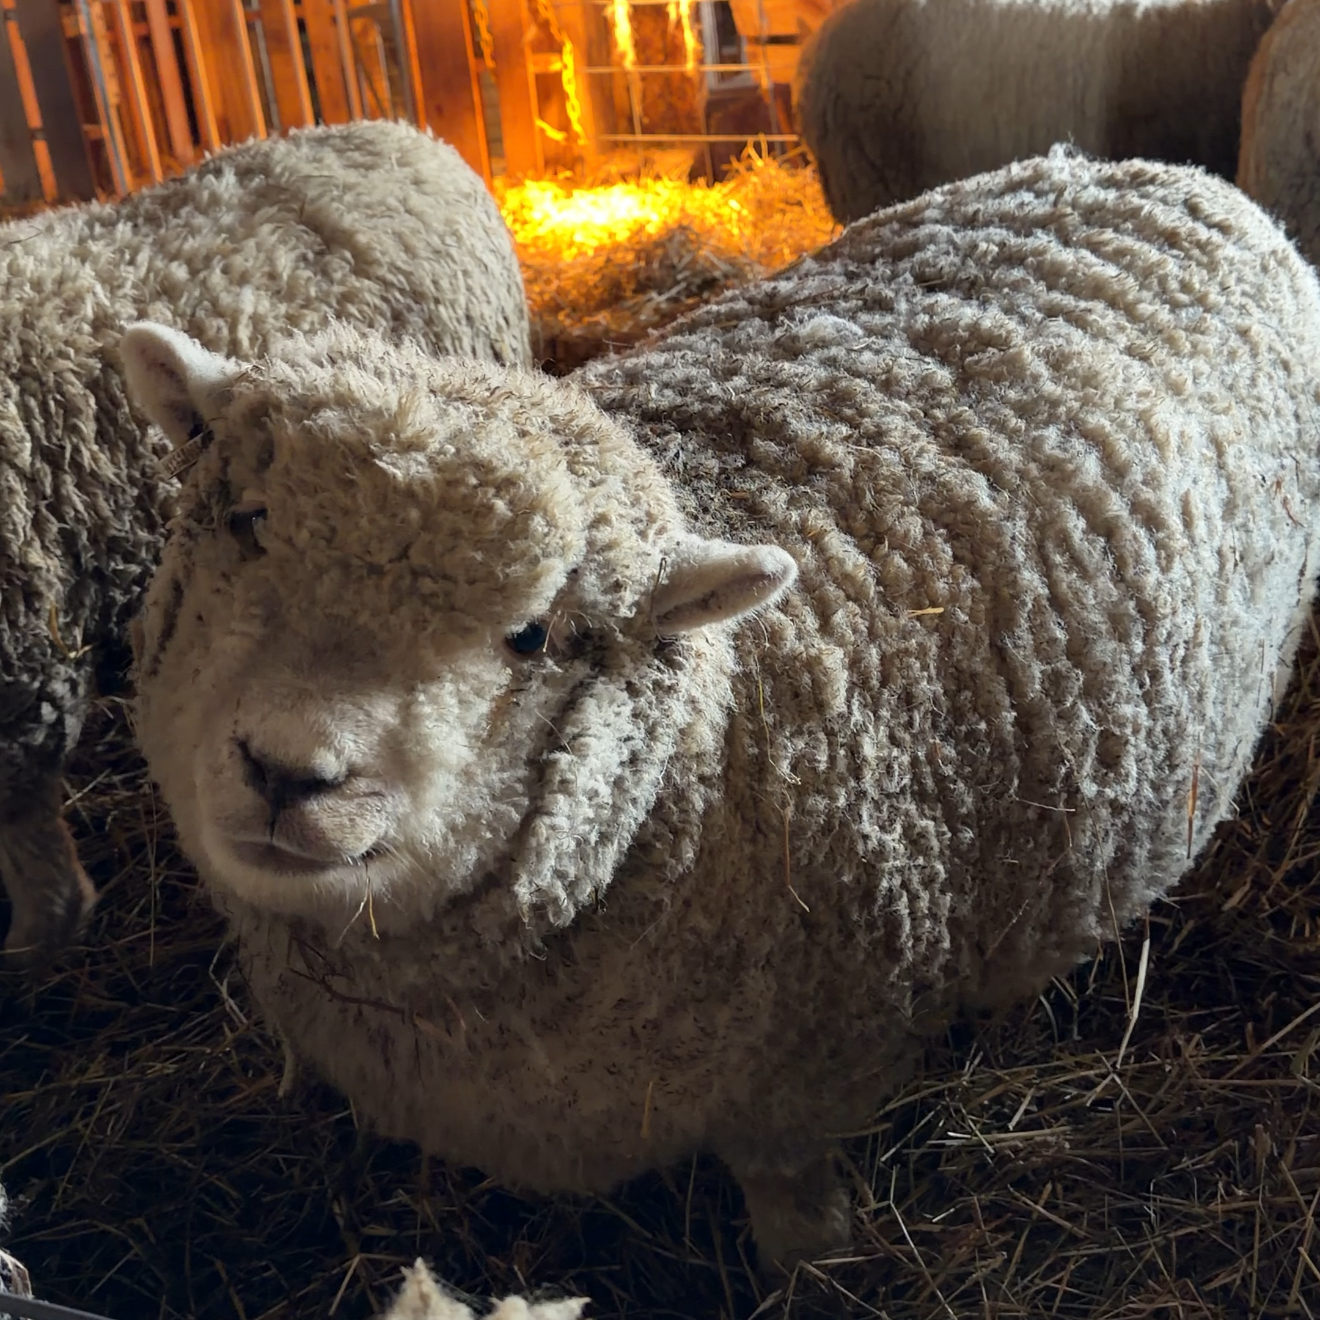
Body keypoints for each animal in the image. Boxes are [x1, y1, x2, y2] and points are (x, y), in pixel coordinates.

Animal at [119, 148, 1320, 1272]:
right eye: (245, 524)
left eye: (533, 636)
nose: (289, 770)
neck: (705, 753)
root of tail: (1156, 172)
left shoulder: (805, 1087)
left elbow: (796, 1215)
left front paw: (817, 1267)